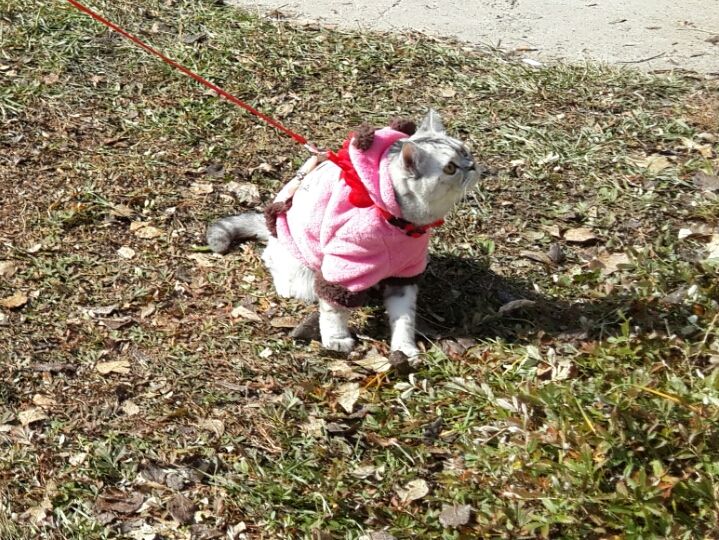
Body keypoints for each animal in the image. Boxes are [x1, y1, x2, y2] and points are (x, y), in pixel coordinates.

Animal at [205, 109, 484, 356]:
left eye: (465, 151)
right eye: (450, 168)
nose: (472, 166)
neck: (401, 222)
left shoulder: (405, 273)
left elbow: (404, 318)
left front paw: (404, 349)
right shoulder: (344, 266)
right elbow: (334, 311)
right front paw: (337, 340)